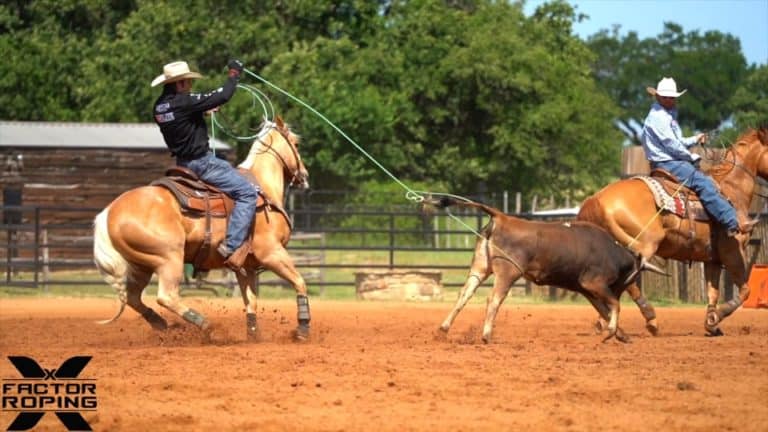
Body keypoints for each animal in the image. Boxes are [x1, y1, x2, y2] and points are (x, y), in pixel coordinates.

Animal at [93, 116, 312, 341]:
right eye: (296, 144)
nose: (304, 175)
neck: (263, 190)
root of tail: (109, 212)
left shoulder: (246, 266)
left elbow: (251, 301)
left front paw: (254, 337)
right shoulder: (271, 252)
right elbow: (299, 281)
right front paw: (302, 329)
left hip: (142, 264)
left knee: (133, 297)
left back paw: (161, 323)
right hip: (169, 258)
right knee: (166, 297)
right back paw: (206, 325)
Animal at [578, 125, 768, 336]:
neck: (732, 190)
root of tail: (596, 200)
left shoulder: (713, 258)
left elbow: (713, 292)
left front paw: (711, 323)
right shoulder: (732, 252)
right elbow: (744, 290)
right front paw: (719, 315)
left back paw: (605, 321)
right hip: (645, 243)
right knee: (627, 282)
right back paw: (649, 318)